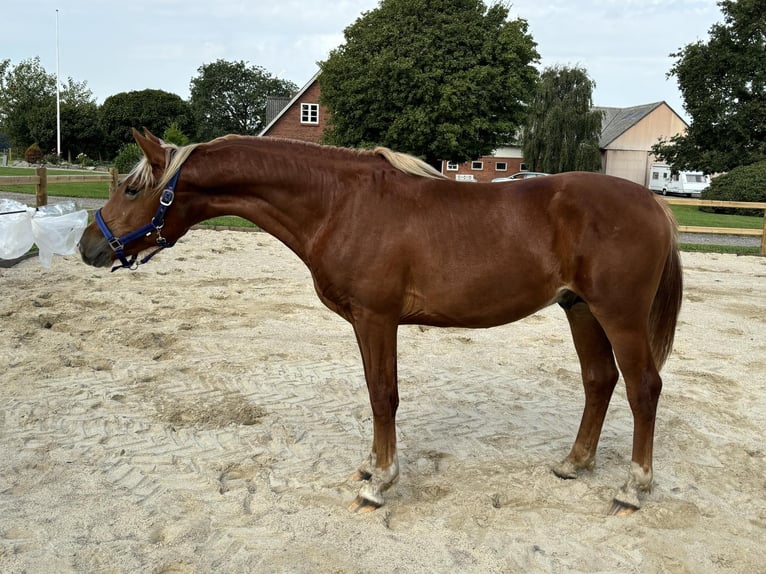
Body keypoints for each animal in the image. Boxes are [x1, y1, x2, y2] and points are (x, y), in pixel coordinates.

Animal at [79, 132, 684, 516]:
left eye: (132, 188)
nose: (90, 246)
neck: (340, 203)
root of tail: (654, 204)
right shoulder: (366, 322)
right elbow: (376, 394)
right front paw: (372, 469)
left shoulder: (376, 318)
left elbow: (382, 394)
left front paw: (381, 483)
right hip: (579, 309)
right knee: (599, 381)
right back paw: (573, 464)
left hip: (618, 314)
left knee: (642, 388)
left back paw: (633, 488)